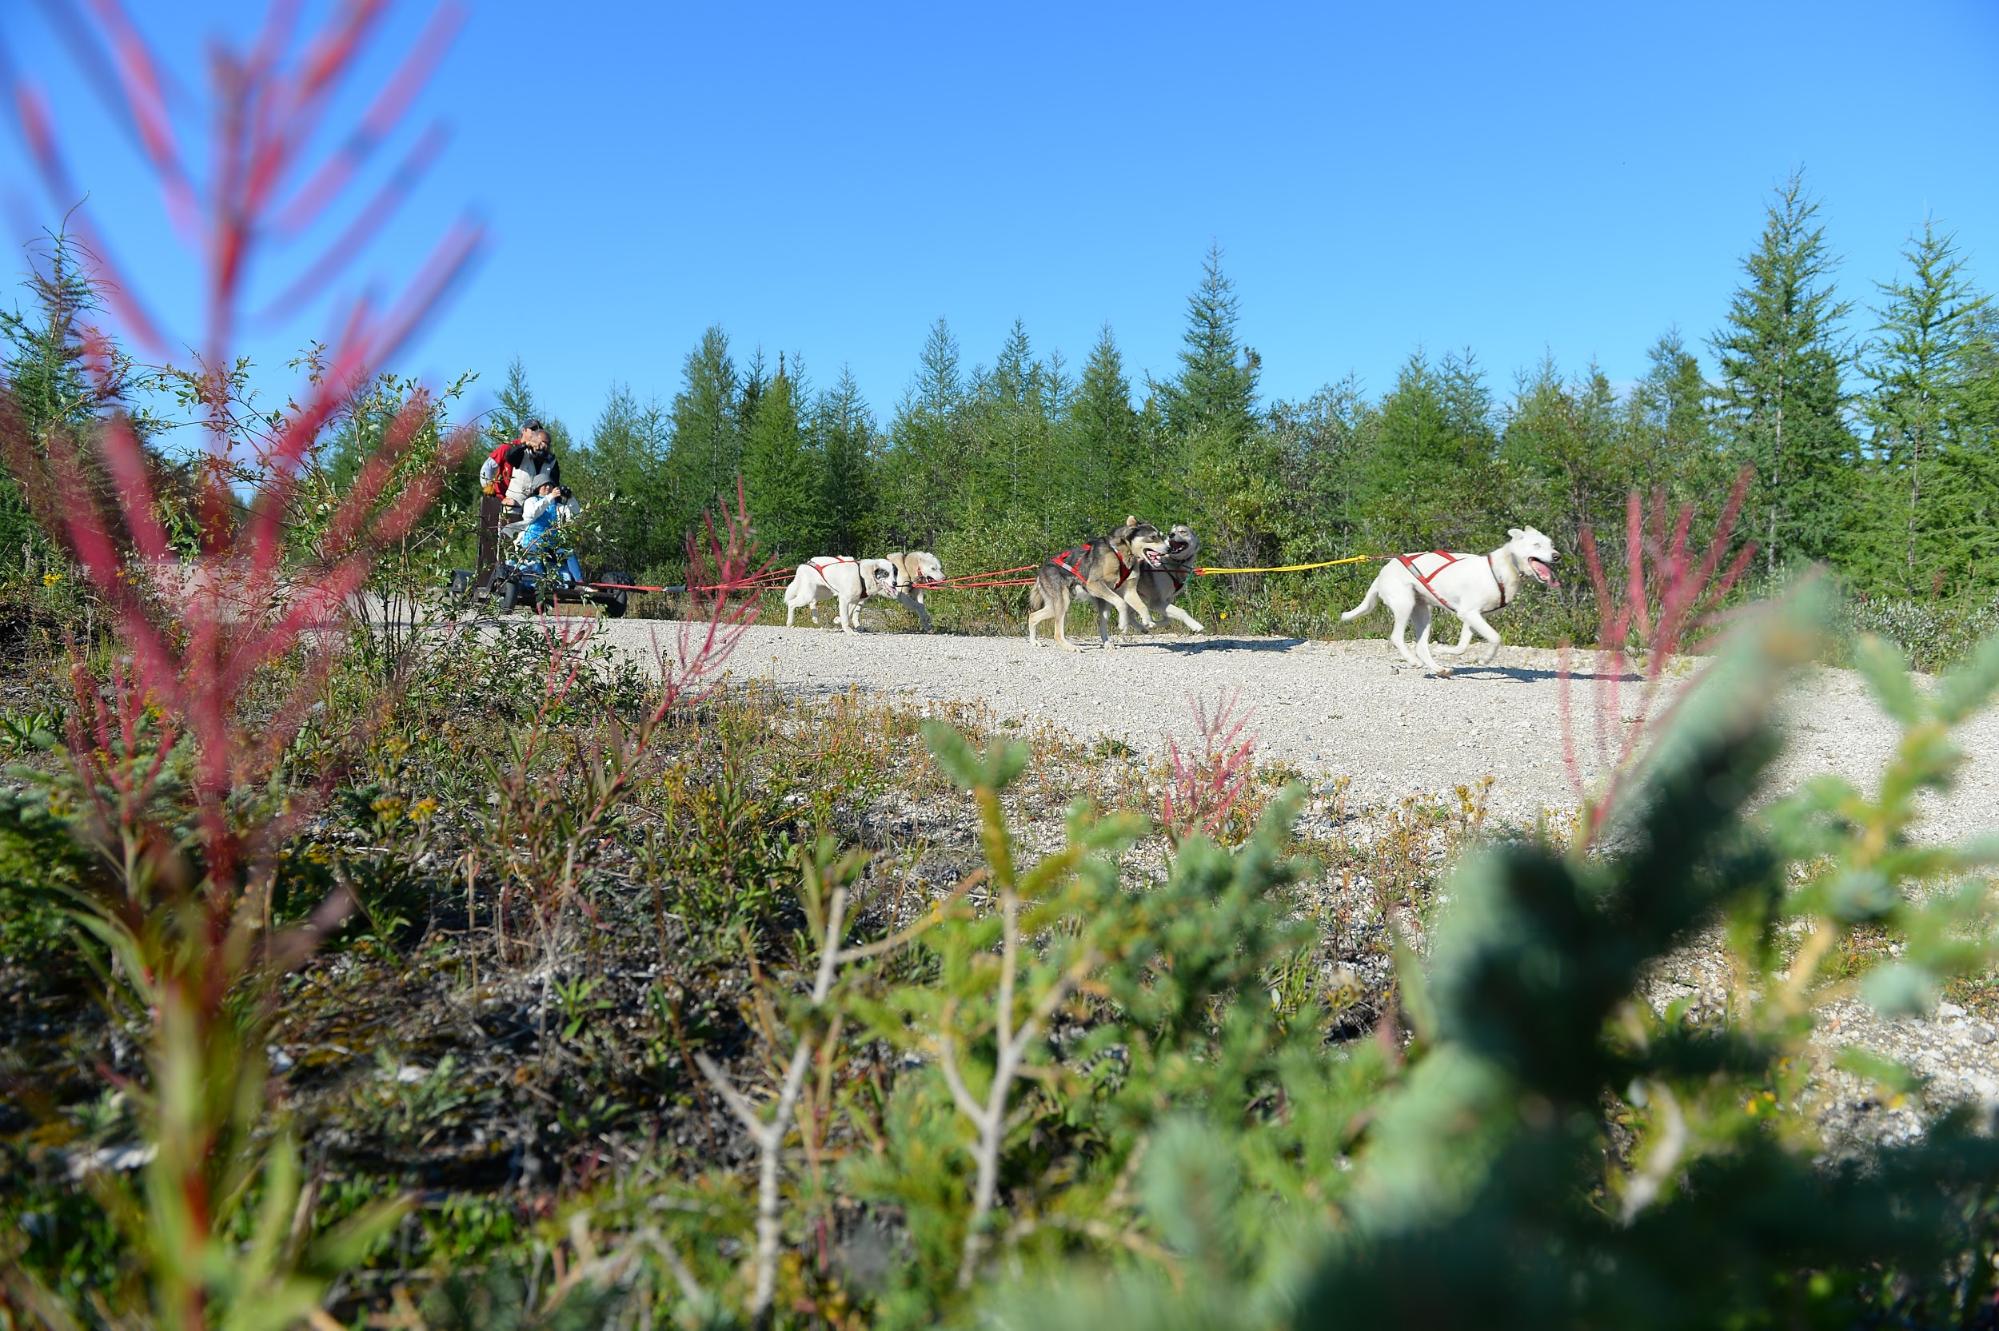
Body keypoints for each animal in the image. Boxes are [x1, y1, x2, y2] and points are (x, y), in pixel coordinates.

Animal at [1031, 511, 1167, 647]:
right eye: (1153, 537)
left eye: (1161, 536)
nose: (1169, 548)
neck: (1121, 551)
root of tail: (1041, 571)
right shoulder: (1094, 584)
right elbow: (1121, 603)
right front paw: (1123, 623)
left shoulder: (1130, 592)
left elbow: (1142, 607)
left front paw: (1147, 621)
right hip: (1063, 603)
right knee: (1057, 634)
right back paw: (1071, 647)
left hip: (1064, 606)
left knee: (1032, 616)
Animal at [1343, 523, 1559, 675]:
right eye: (1536, 545)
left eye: (1551, 544)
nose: (1557, 556)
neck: (1503, 567)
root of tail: (1382, 573)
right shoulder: (1470, 613)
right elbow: (1495, 638)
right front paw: (1485, 659)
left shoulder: (1472, 616)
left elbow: (1462, 646)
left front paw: (1444, 651)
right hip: (1405, 605)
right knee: (1397, 637)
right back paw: (1413, 661)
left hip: (1423, 613)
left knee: (1421, 646)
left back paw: (1439, 669)